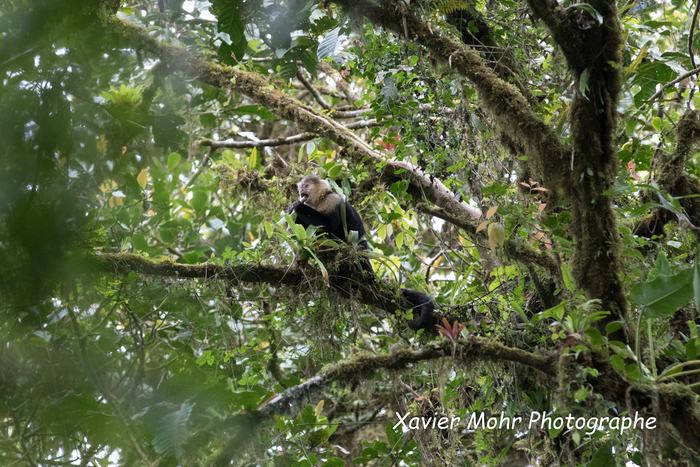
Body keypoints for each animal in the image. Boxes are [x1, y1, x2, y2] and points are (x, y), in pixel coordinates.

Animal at [288, 175, 436, 331]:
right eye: (301, 187)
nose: (301, 191)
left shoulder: (332, 201)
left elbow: (327, 227)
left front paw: (297, 207)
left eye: (307, 186)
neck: (320, 200)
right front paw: (292, 213)